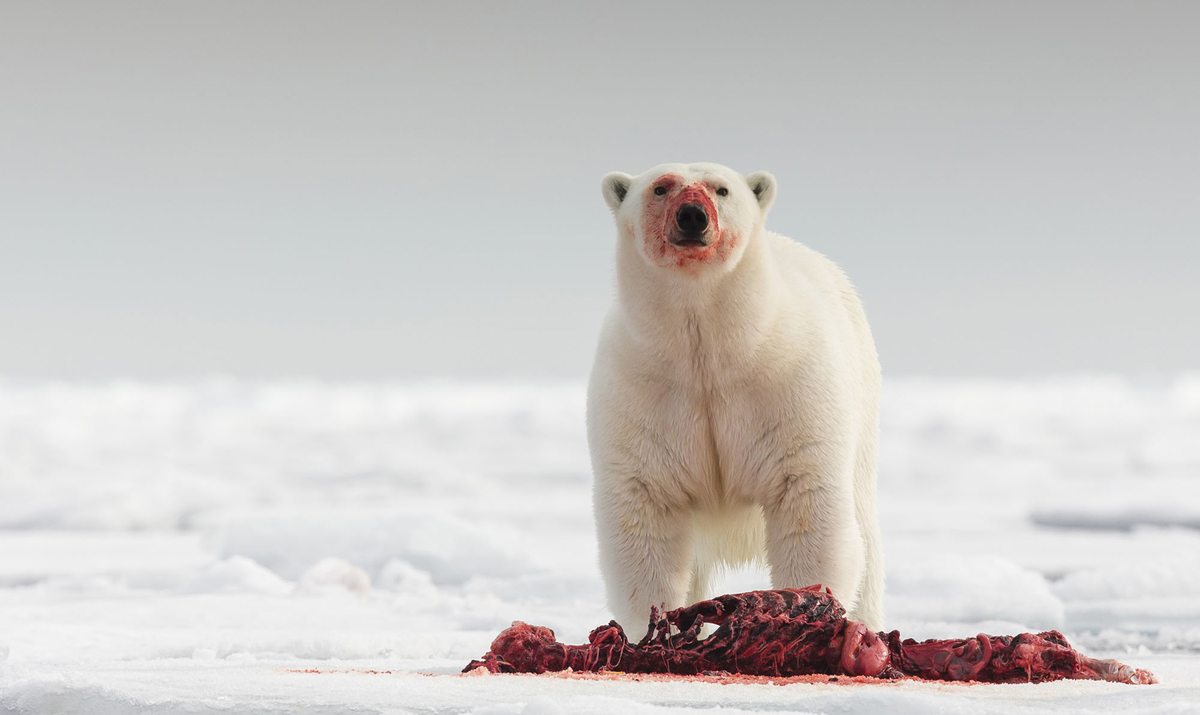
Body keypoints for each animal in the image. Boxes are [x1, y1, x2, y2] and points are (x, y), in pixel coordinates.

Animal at [585, 160, 888, 633]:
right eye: (660, 188)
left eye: (721, 189)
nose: (693, 216)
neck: (709, 355)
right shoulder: (643, 393)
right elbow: (645, 518)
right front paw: (655, 628)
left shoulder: (786, 385)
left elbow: (805, 504)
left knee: (866, 542)